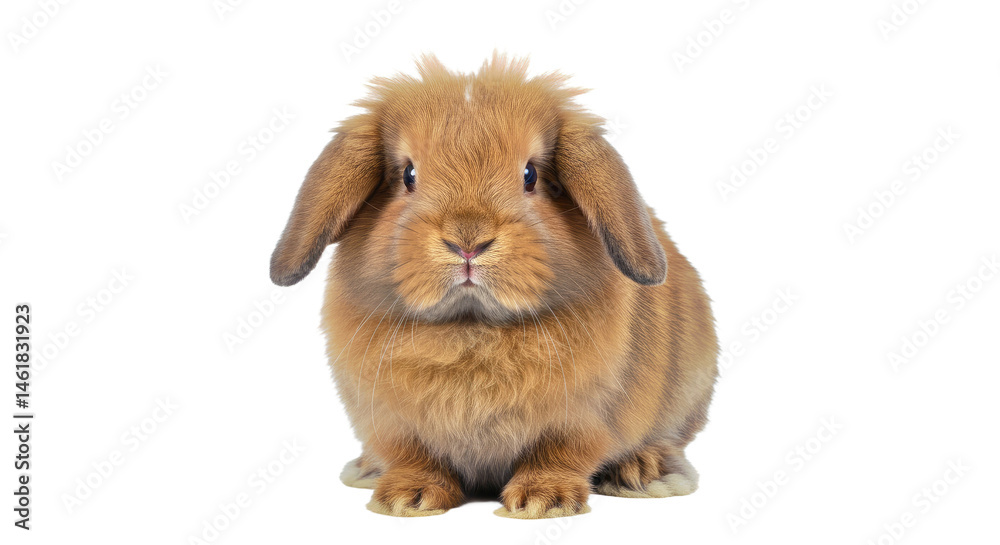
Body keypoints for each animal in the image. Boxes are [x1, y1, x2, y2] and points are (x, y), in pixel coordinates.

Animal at [270, 54, 718, 519]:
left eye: (530, 174)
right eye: (408, 174)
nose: (468, 240)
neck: (471, 327)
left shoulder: (582, 418)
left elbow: (559, 454)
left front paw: (543, 501)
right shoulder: (390, 422)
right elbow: (413, 456)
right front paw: (407, 498)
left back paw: (642, 471)